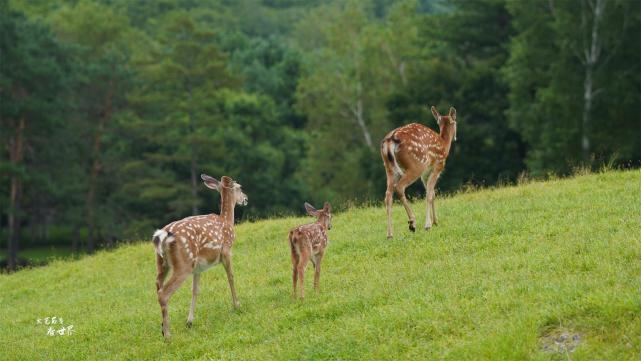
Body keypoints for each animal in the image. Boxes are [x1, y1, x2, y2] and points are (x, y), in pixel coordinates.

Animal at [152, 174, 248, 338]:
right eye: (239, 187)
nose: (246, 199)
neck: (227, 221)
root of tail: (162, 236)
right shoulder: (226, 250)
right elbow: (231, 277)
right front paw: (237, 305)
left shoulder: (198, 268)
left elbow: (195, 290)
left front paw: (189, 321)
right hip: (183, 264)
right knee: (163, 293)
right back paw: (168, 336)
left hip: (163, 264)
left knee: (158, 286)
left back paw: (163, 329)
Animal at [380, 105, 456, 238]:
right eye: (456, 121)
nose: (456, 136)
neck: (444, 145)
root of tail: (390, 140)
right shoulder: (438, 166)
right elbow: (429, 195)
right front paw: (428, 225)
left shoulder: (425, 173)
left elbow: (433, 193)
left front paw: (435, 221)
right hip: (416, 165)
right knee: (399, 187)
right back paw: (412, 223)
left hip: (389, 168)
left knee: (388, 195)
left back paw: (390, 234)